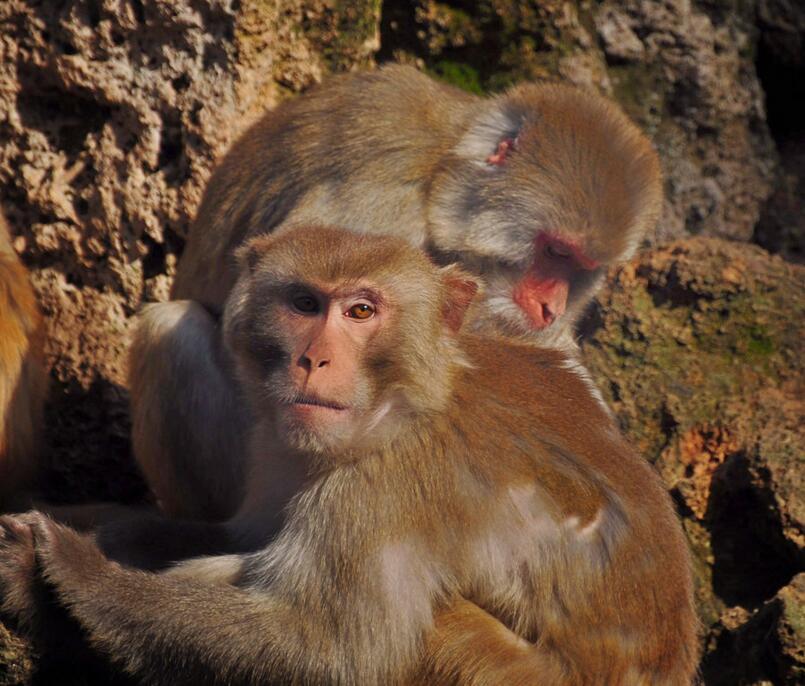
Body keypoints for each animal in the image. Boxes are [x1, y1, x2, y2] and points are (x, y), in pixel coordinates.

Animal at [0, 230, 696, 686]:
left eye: (362, 311)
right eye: (305, 304)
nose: (314, 359)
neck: (398, 408)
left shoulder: (389, 486)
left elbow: (327, 650)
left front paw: (73, 573)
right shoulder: (281, 444)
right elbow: (242, 535)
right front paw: (94, 529)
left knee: (429, 627)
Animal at [133, 66, 660, 520]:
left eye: (582, 267)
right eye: (554, 250)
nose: (551, 307)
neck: (441, 176)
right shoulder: (380, 206)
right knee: (173, 331)